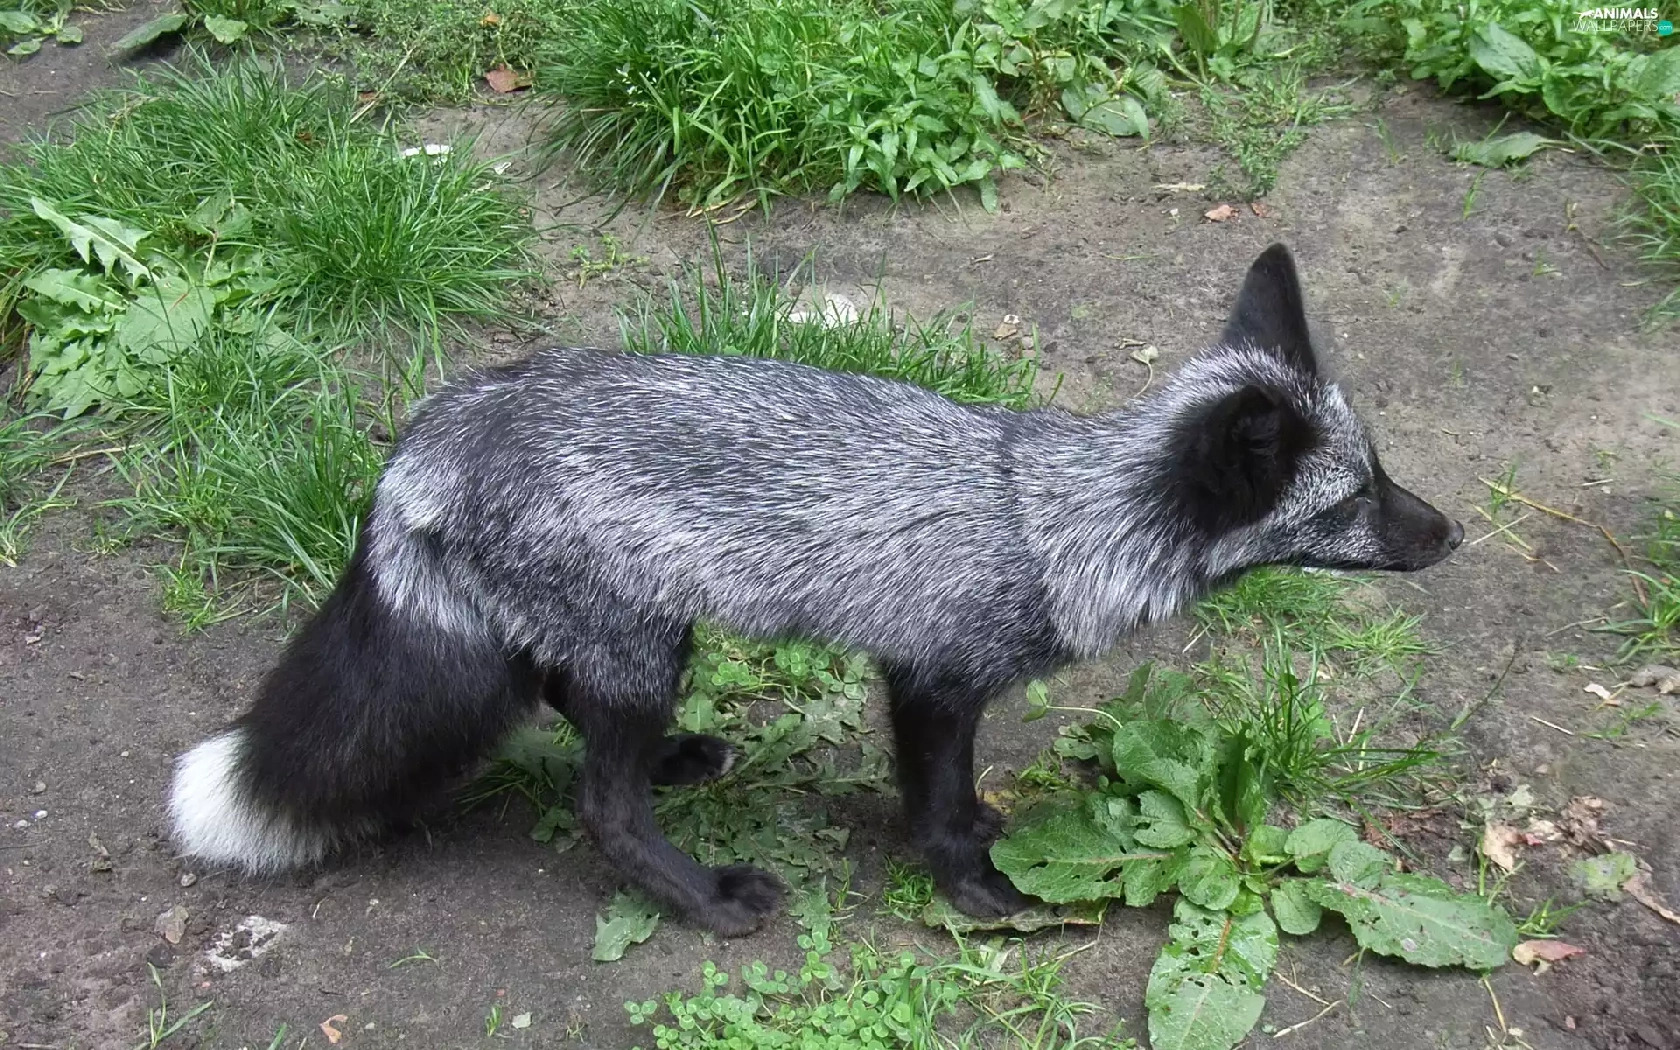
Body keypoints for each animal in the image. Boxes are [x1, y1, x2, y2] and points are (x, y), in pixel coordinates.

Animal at [167, 244, 1463, 936]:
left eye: (1383, 471)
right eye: (1355, 501)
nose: (1450, 534)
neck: (1047, 518)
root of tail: (445, 420)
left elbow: (961, 790)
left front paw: (982, 843)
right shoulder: (933, 678)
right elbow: (934, 803)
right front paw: (974, 887)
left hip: (633, 639)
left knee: (559, 694)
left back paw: (682, 761)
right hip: (643, 652)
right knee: (601, 807)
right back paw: (701, 896)